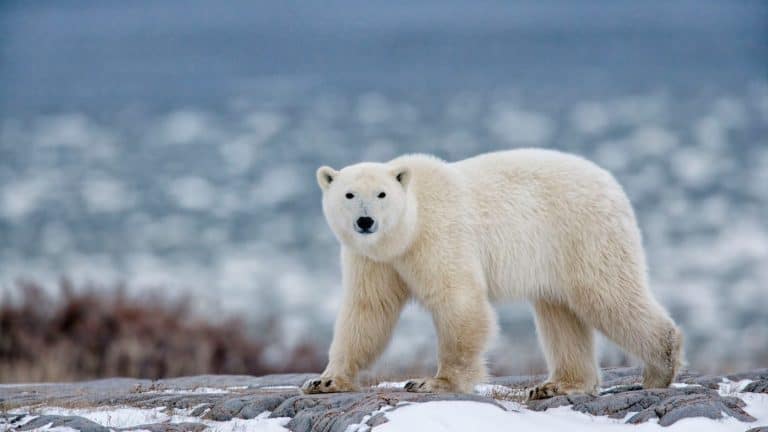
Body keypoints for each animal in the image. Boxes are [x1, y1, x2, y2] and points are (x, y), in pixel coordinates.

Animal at [302, 149, 683, 399]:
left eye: (381, 194)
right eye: (349, 194)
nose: (365, 221)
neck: (408, 229)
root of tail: (612, 183)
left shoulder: (439, 235)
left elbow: (458, 300)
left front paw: (433, 382)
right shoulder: (372, 259)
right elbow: (367, 311)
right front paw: (325, 381)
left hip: (583, 233)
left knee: (608, 295)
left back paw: (660, 368)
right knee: (560, 314)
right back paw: (557, 385)